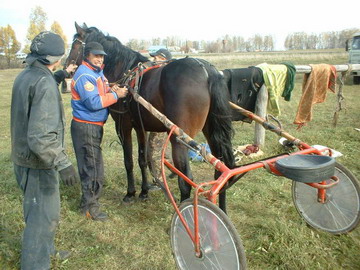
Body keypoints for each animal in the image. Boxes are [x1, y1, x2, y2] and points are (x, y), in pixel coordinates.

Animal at [66, 22, 235, 211]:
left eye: (74, 45)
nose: (66, 68)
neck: (124, 72)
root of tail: (206, 70)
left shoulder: (123, 126)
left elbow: (128, 161)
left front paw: (130, 193)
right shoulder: (140, 127)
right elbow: (142, 159)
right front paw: (144, 191)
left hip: (179, 139)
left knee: (185, 179)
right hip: (210, 132)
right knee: (220, 171)